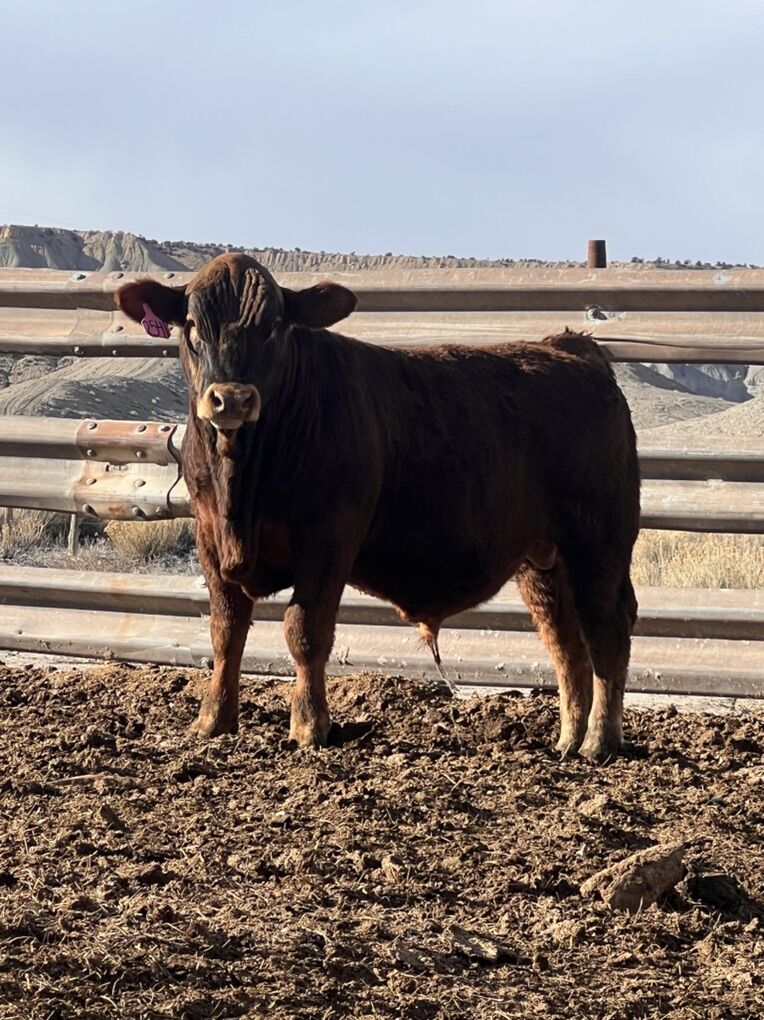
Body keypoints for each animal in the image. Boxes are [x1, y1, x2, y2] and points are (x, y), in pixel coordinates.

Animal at [116, 253, 640, 761]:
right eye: (191, 324)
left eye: (275, 324)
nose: (232, 399)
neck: (243, 480)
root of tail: (569, 349)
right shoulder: (209, 535)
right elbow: (226, 630)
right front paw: (212, 720)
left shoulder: (327, 540)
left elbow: (304, 631)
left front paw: (309, 725)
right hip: (541, 559)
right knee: (563, 639)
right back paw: (567, 740)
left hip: (599, 540)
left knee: (606, 628)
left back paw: (598, 741)